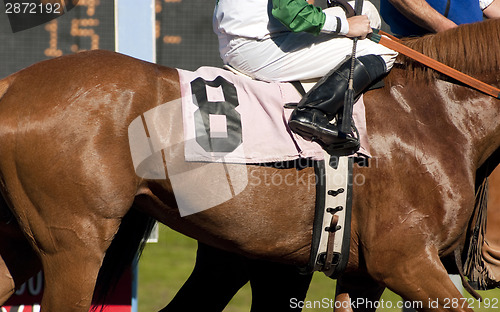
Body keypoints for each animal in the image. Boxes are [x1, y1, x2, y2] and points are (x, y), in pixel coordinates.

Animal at [0, 18, 498, 312]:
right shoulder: (404, 258)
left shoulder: (362, 271)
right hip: (74, 243)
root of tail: (13, 83)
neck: (430, 112)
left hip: (25, 241)